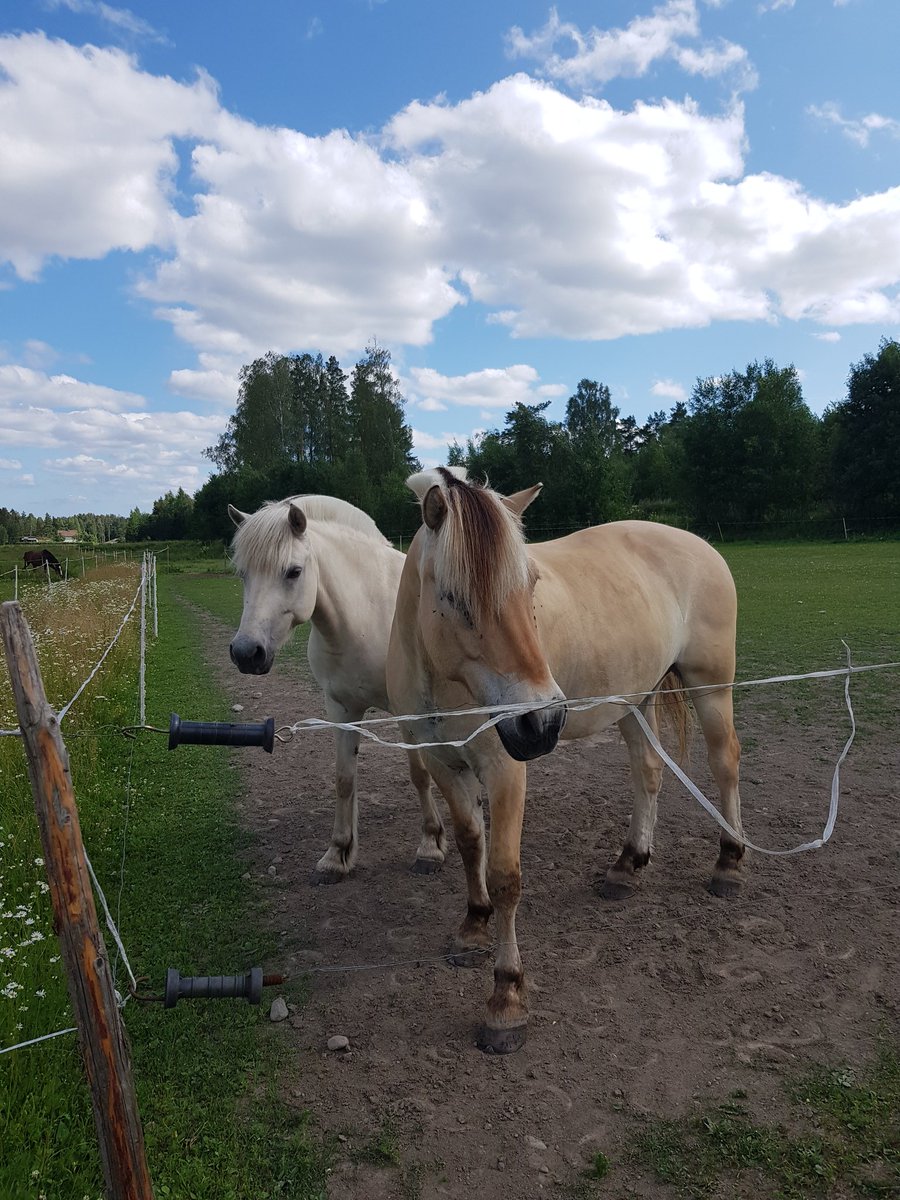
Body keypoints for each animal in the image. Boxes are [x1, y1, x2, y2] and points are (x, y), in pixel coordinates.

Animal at [227, 495, 444, 883]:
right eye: (243, 574)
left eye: (293, 571)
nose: (246, 653)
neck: (367, 614)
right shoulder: (342, 710)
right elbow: (344, 779)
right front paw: (337, 854)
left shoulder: (407, 712)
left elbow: (419, 774)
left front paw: (430, 846)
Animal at [386, 466, 744, 1053]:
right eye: (454, 597)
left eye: (531, 585)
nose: (542, 721)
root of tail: (698, 543)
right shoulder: (442, 764)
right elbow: (469, 844)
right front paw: (474, 925)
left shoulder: (505, 770)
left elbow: (505, 874)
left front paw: (506, 999)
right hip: (634, 699)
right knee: (647, 772)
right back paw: (627, 865)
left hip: (711, 688)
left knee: (725, 763)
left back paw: (730, 863)